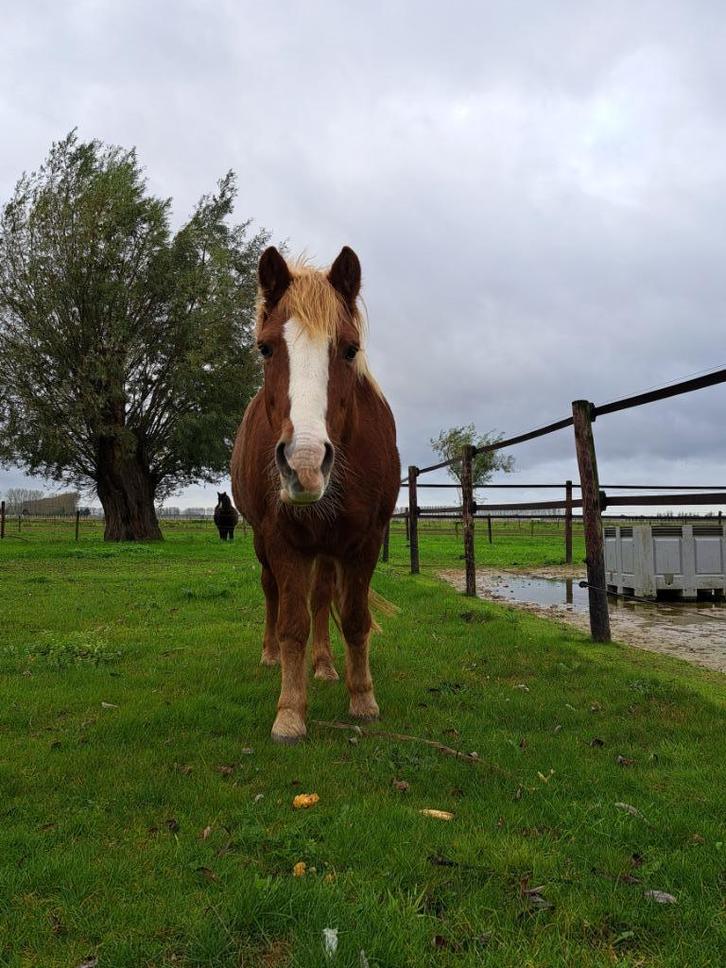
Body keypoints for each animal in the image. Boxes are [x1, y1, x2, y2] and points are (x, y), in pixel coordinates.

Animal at [231, 245, 400, 743]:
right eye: (265, 347)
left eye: (350, 349)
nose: (304, 464)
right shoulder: (281, 540)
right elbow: (292, 625)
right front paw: (290, 712)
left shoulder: (365, 541)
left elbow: (355, 619)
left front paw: (363, 699)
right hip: (263, 542)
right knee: (272, 591)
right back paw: (271, 655)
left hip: (327, 548)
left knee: (323, 597)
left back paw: (324, 664)